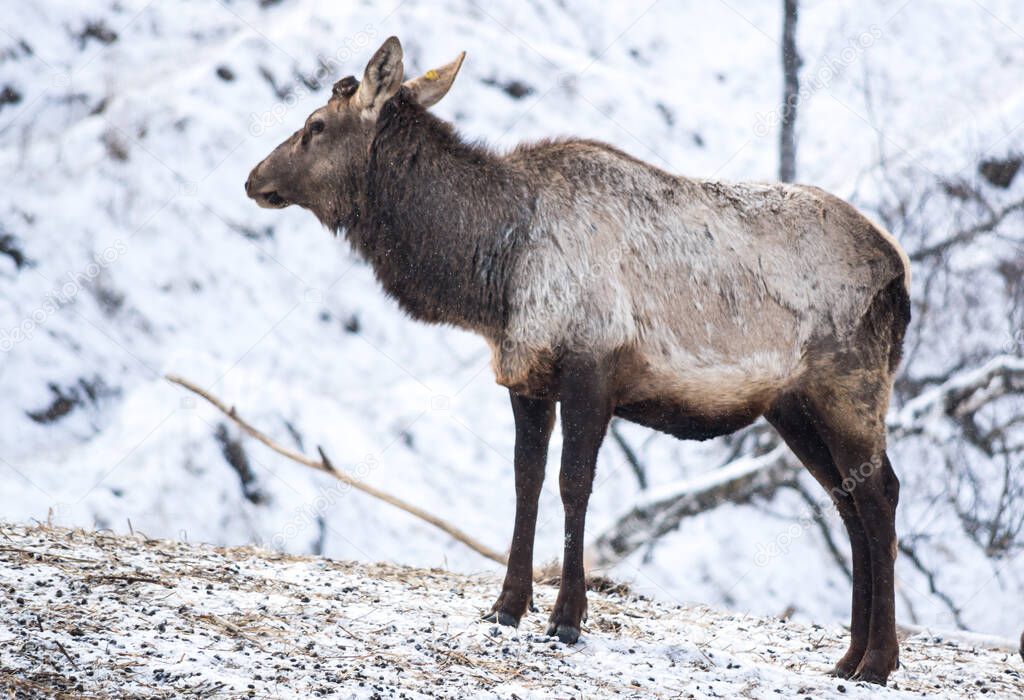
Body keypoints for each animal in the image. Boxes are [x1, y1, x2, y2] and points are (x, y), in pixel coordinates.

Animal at [247, 36, 913, 683]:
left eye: (315, 125)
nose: (253, 177)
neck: (492, 277)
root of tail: (902, 275)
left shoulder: (592, 369)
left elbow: (574, 485)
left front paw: (567, 618)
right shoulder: (526, 375)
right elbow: (526, 480)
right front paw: (506, 606)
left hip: (849, 385)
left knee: (880, 495)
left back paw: (878, 663)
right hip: (793, 408)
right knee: (847, 502)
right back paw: (848, 657)